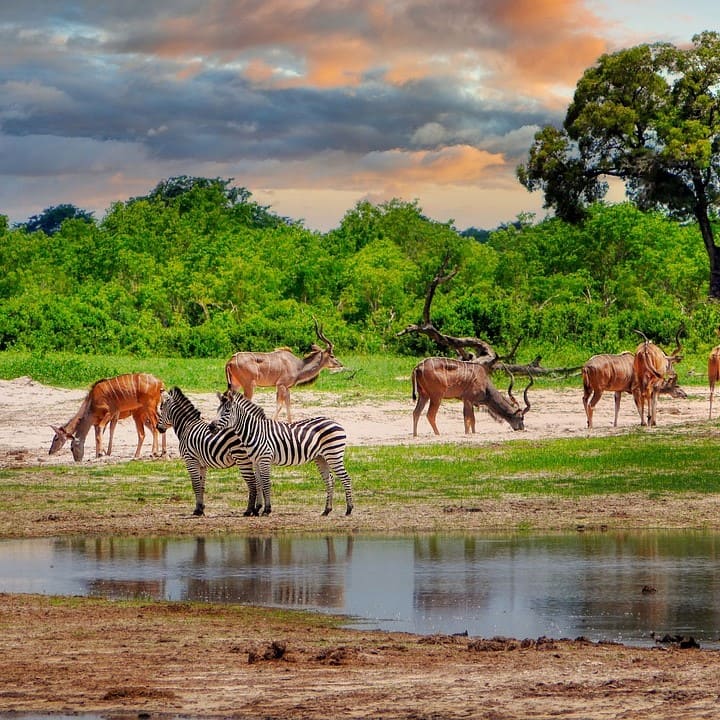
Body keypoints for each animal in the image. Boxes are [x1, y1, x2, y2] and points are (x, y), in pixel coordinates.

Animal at [158, 388, 258, 516]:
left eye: (161, 408)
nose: (158, 428)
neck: (187, 426)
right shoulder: (202, 465)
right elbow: (201, 486)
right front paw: (201, 508)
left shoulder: (190, 460)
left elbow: (195, 485)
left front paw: (197, 510)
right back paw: (257, 509)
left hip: (242, 459)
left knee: (252, 483)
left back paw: (249, 510)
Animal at [208, 388, 354, 516]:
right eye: (217, 410)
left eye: (227, 411)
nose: (211, 427)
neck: (254, 431)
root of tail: (336, 422)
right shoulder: (256, 461)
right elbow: (259, 483)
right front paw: (258, 509)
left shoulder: (264, 459)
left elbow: (266, 482)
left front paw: (267, 510)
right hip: (321, 457)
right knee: (330, 480)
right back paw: (326, 510)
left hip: (333, 454)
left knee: (345, 478)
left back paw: (349, 509)